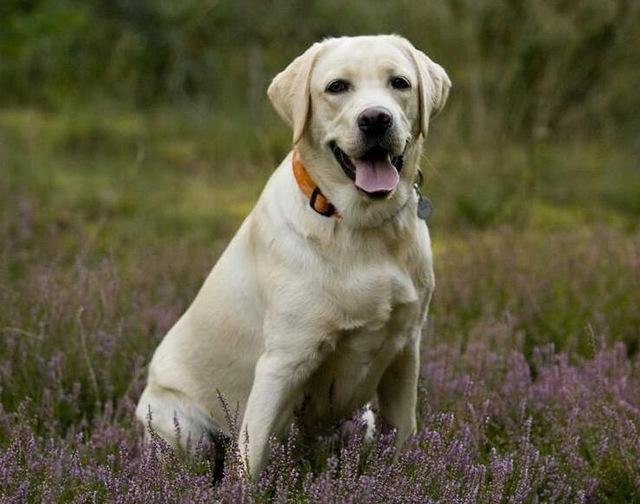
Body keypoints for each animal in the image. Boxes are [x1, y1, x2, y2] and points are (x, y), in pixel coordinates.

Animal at [138, 34, 452, 476]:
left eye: (400, 83)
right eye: (337, 87)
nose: (376, 119)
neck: (361, 224)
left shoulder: (405, 351)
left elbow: (403, 436)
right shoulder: (283, 361)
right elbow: (249, 462)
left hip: (362, 421)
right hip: (182, 428)